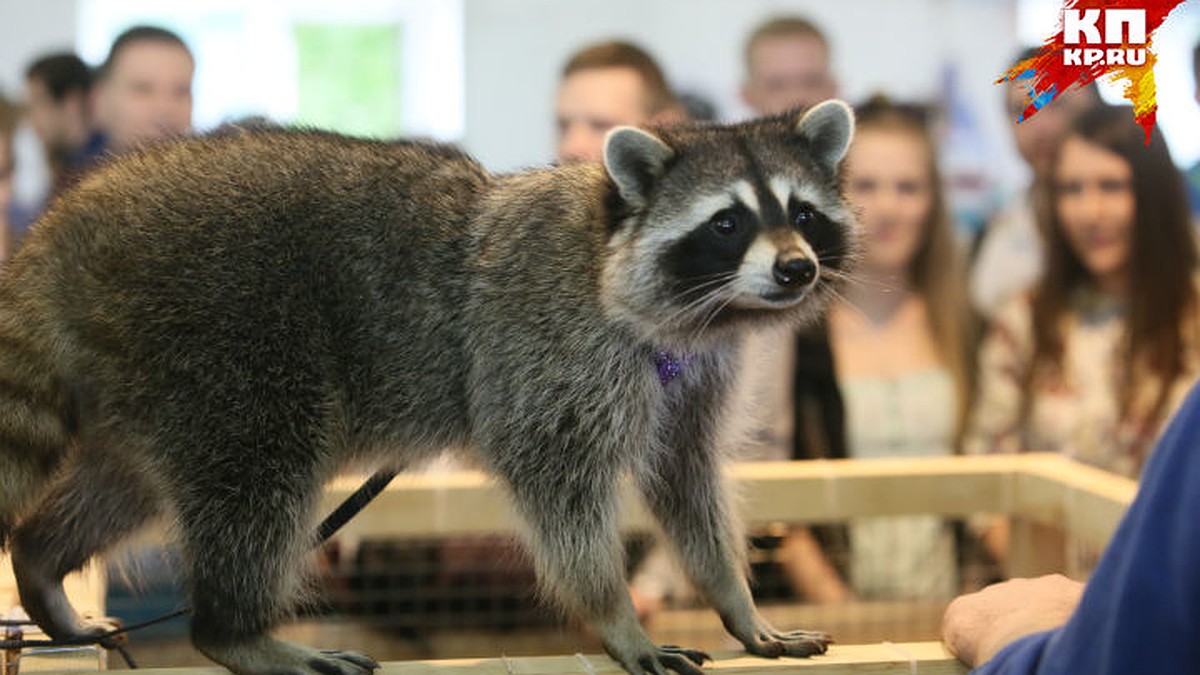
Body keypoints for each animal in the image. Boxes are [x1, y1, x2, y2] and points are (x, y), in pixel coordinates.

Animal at [0, 99, 854, 672]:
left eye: (803, 214)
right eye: (727, 223)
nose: (796, 269)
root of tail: (64, 230)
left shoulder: (695, 375)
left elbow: (685, 480)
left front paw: (733, 596)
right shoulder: (548, 352)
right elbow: (559, 488)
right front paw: (614, 615)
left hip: (150, 373)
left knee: (127, 483)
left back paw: (41, 561)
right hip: (224, 336)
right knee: (260, 472)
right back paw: (234, 628)